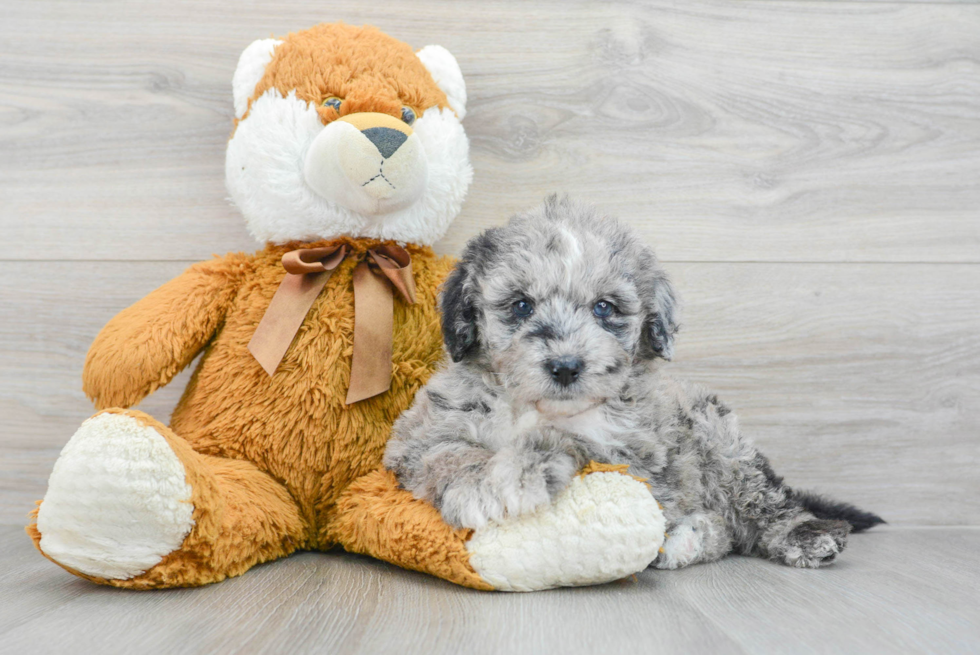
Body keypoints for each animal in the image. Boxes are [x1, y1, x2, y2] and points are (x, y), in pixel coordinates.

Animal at [382, 195, 880, 568]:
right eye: (521, 305)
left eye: (604, 308)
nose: (566, 366)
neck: (536, 408)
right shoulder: (417, 436)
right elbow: (447, 452)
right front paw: (480, 483)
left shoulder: (633, 453)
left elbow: (572, 440)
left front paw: (522, 467)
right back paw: (686, 539)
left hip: (721, 439)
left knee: (760, 504)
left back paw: (802, 534)